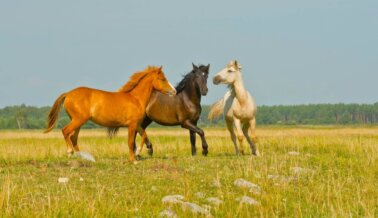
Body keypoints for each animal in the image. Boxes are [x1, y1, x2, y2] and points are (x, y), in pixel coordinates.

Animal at [43, 65, 176, 161]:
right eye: (163, 79)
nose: (174, 91)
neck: (135, 99)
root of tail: (68, 94)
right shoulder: (132, 125)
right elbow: (130, 142)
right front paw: (133, 159)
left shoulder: (137, 124)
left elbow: (144, 135)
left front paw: (139, 152)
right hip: (78, 120)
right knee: (65, 131)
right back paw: (70, 153)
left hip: (78, 122)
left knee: (74, 137)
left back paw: (82, 157)